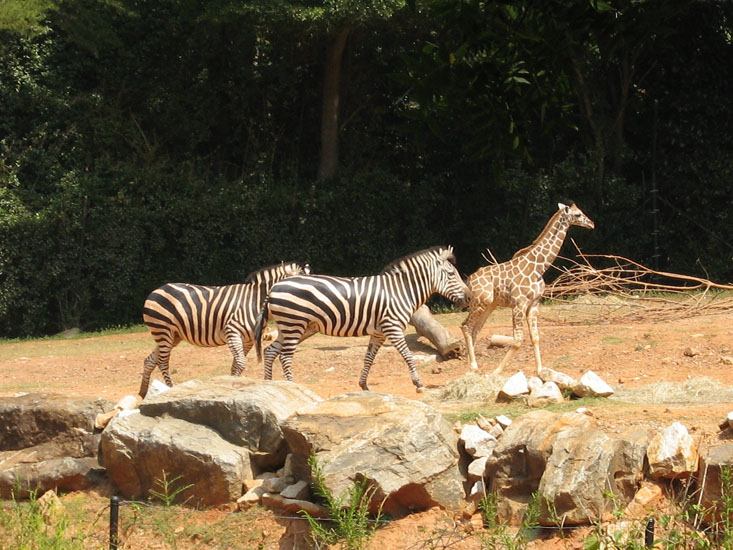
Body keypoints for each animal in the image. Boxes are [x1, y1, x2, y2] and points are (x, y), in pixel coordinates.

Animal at [461, 202, 595, 375]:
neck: (539, 268)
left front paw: (540, 370)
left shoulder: (534, 304)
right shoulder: (519, 304)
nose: (592, 223)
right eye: (577, 214)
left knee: (475, 329)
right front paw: (497, 371)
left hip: (490, 305)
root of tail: (469, 280)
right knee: (466, 326)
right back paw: (473, 366)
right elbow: (518, 340)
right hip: (480, 302)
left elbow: (535, 337)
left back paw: (471, 367)